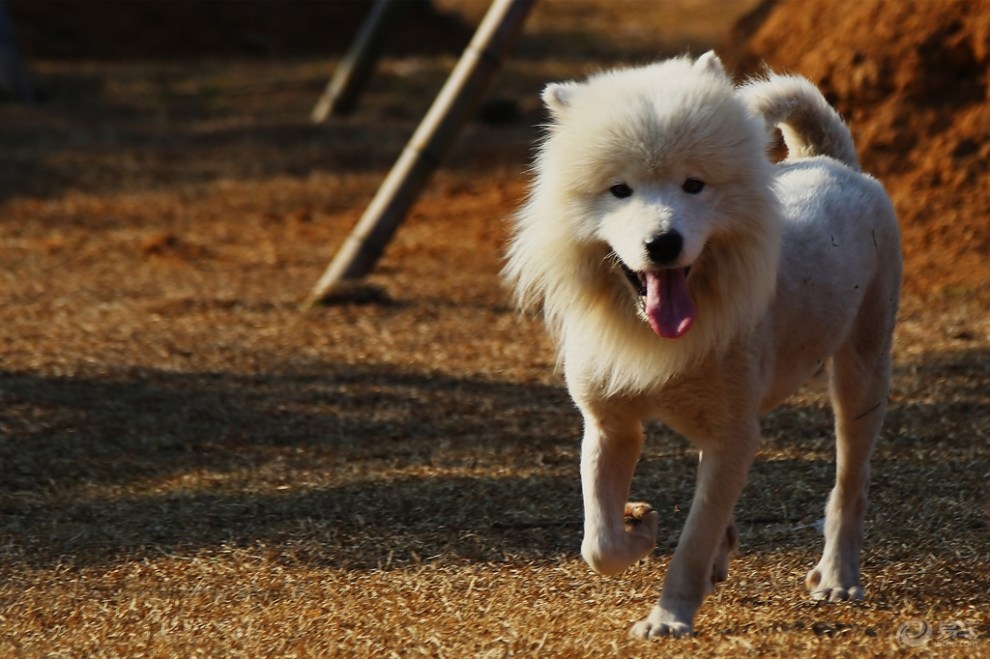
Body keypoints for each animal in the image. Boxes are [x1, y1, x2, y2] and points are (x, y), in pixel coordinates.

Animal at [508, 52, 904, 640]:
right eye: (619, 189)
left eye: (694, 185)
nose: (663, 243)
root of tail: (830, 161)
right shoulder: (610, 426)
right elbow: (599, 543)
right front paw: (640, 525)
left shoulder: (734, 437)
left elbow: (691, 542)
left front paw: (668, 618)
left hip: (861, 374)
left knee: (850, 484)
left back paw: (837, 578)